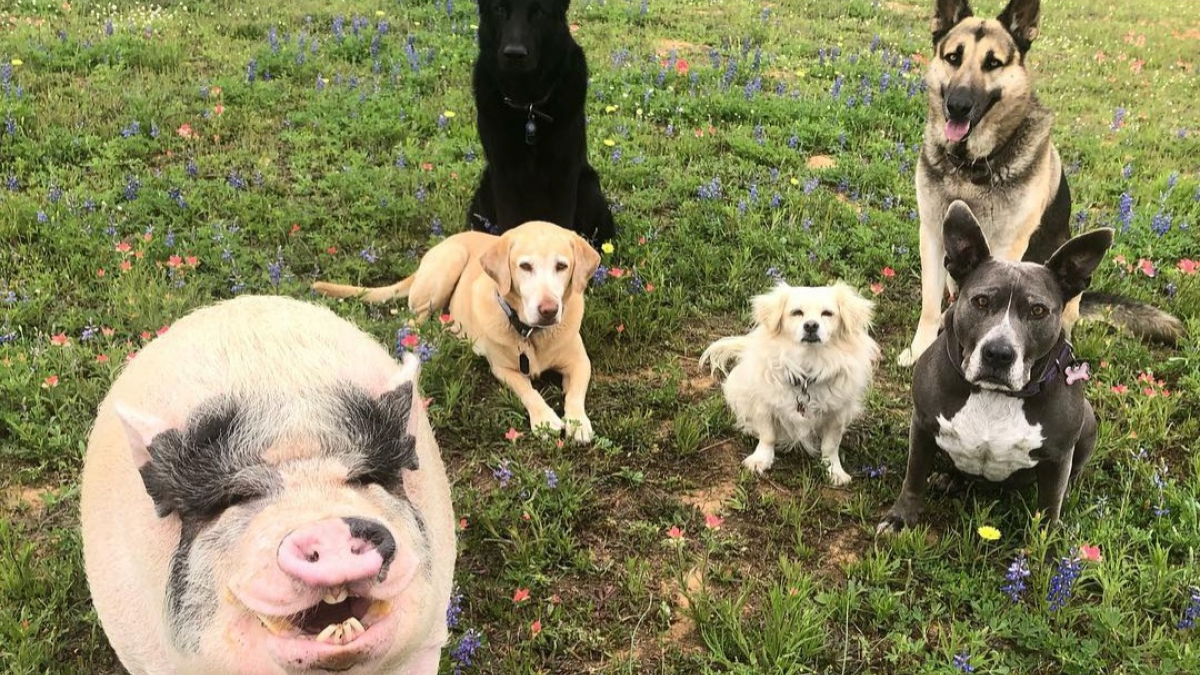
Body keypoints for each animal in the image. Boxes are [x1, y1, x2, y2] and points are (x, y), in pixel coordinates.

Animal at [470, 0, 619, 243]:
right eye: (499, 9)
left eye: (539, 11)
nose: (514, 54)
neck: (528, 103)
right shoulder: (502, 173)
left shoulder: (564, 172)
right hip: (484, 191)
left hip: (590, 188)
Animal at [700, 279, 883, 482]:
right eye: (797, 313)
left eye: (827, 313)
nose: (811, 325)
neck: (808, 366)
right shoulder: (765, 404)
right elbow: (768, 435)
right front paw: (761, 459)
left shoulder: (837, 415)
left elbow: (831, 445)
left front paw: (834, 470)